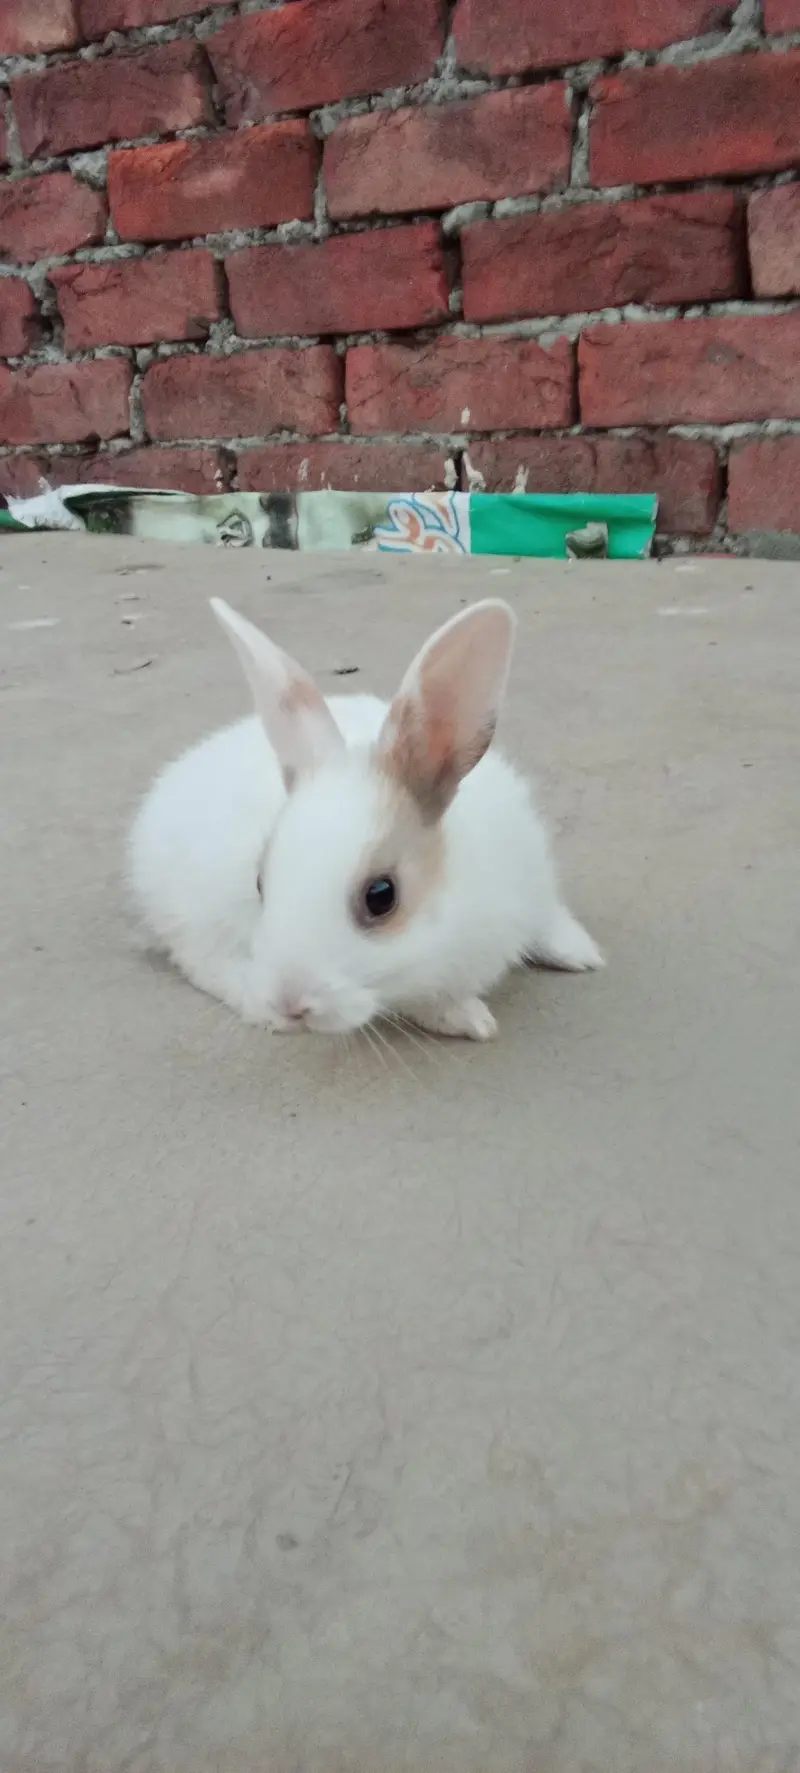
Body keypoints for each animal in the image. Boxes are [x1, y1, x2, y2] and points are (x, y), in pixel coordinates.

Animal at [127, 596, 603, 1041]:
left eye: (381, 896)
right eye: (260, 884)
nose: (291, 1005)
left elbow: (549, 920)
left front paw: (584, 954)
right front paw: (471, 1020)